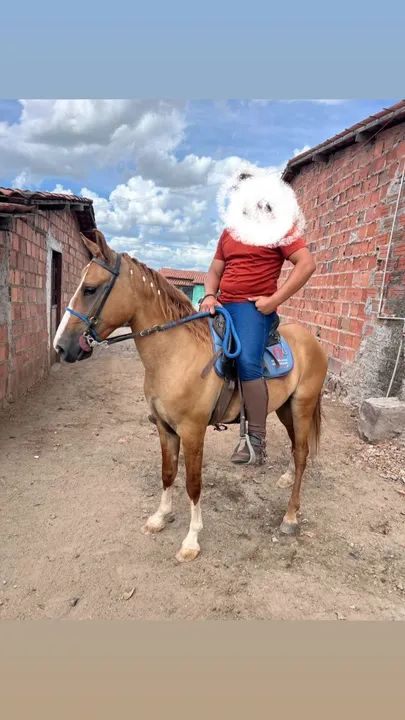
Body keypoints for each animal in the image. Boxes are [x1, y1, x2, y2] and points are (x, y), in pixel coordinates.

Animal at [54, 229, 328, 562]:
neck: (175, 354)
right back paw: (286, 478)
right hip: (285, 409)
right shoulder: (164, 428)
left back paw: (289, 517)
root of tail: (311, 340)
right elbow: (168, 473)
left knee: (301, 455)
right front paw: (160, 517)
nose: (61, 346)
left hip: (302, 406)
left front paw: (191, 540)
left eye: (90, 289)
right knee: (297, 449)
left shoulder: (193, 432)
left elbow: (193, 484)